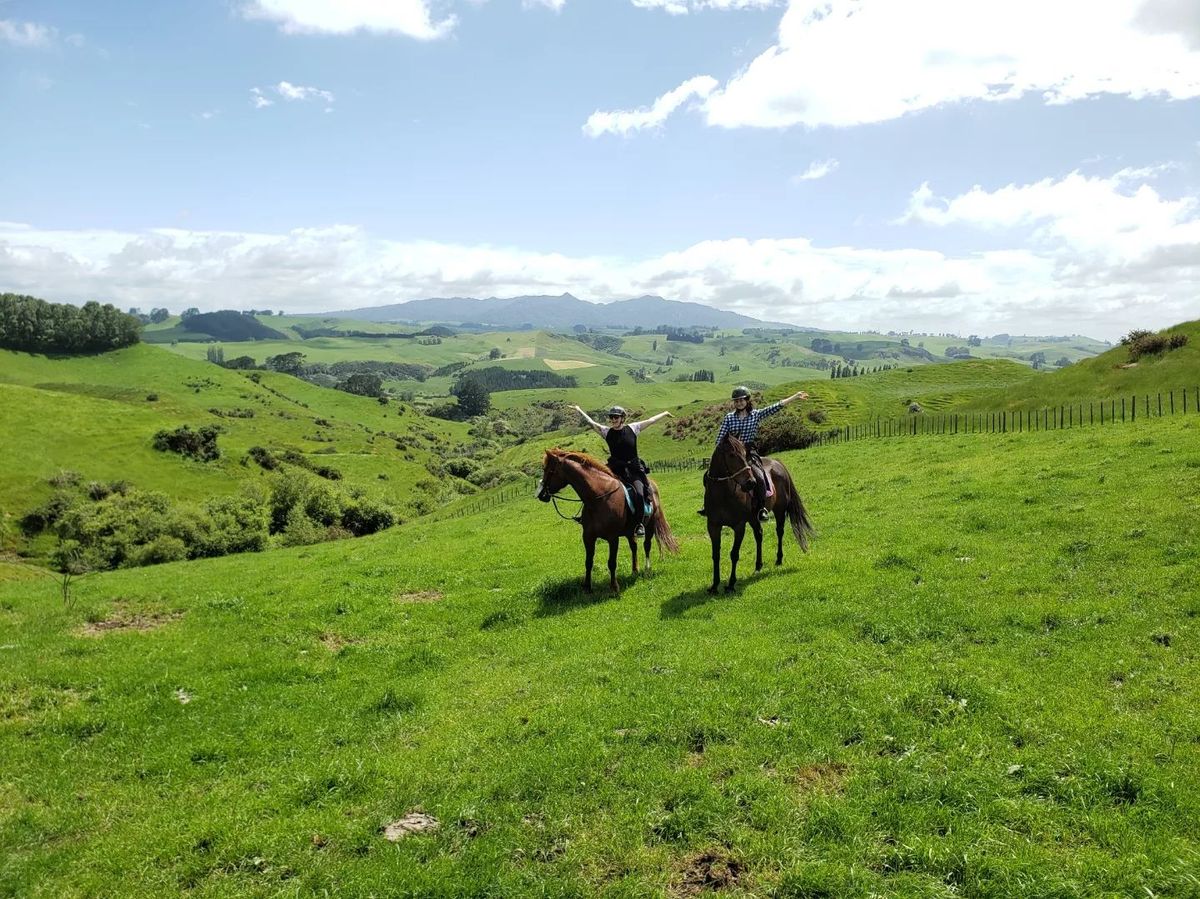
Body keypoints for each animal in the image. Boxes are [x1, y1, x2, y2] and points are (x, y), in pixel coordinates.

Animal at [540, 446, 681, 588]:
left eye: (549, 470)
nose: (541, 495)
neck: (598, 498)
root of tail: (653, 485)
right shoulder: (588, 537)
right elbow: (588, 561)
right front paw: (587, 587)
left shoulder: (613, 538)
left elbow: (612, 562)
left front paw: (614, 587)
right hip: (630, 531)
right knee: (634, 547)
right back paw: (634, 570)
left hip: (650, 526)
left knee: (647, 545)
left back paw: (647, 570)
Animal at [700, 436, 816, 595]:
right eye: (731, 455)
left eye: (744, 454)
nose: (751, 483)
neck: (723, 494)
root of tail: (778, 463)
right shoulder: (713, 526)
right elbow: (715, 555)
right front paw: (714, 585)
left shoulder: (739, 526)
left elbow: (734, 554)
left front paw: (731, 584)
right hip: (753, 518)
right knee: (759, 535)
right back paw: (758, 565)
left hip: (779, 511)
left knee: (779, 532)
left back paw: (779, 559)